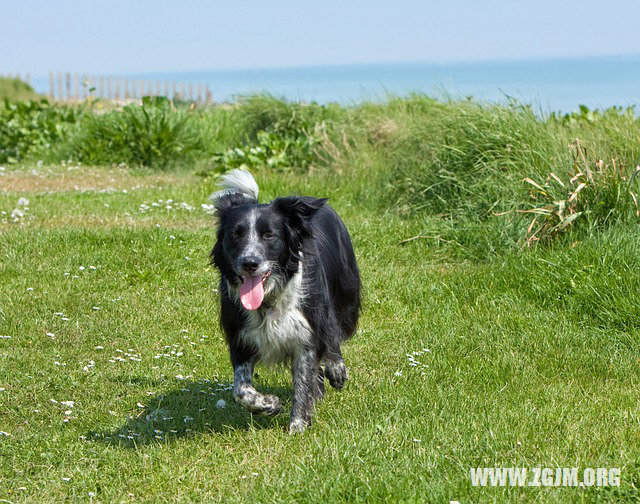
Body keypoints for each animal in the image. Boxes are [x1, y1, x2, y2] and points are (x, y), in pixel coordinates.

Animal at [210, 169, 360, 434]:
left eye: (269, 235)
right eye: (235, 235)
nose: (249, 263)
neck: (268, 302)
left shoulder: (307, 330)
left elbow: (303, 380)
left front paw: (298, 427)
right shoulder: (240, 335)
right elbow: (241, 390)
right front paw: (269, 404)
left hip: (344, 291)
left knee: (333, 330)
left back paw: (336, 370)